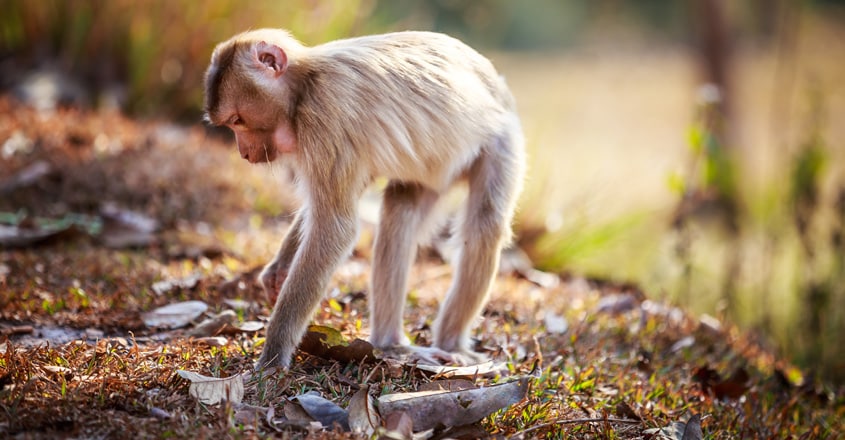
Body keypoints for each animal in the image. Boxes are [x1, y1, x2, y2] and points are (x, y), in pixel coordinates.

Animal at [203, 28, 520, 372]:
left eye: (237, 121)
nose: (243, 152)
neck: (304, 87)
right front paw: (279, 268)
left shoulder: (326, 118)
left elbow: (334, 229)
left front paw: (274, 354)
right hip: (430, 171)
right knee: (400, 213)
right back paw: (391, 343)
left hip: (502, 138)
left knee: (485, 225)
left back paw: (450, 343)